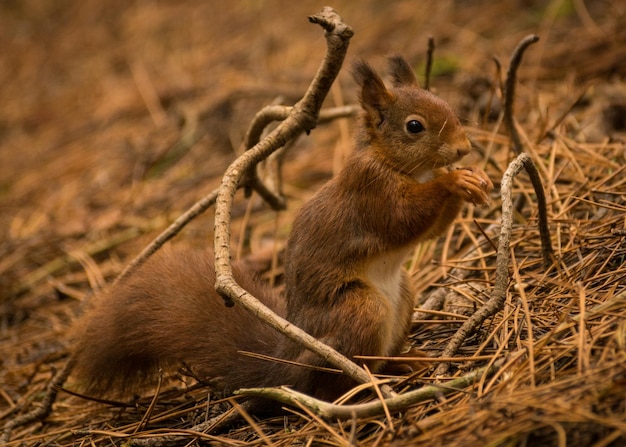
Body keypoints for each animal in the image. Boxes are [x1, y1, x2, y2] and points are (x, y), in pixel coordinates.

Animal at [70, 56, 492, 406]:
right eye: (414, 126)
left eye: (447, 105)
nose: (463, 148)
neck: (397, 163)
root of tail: (286, 368)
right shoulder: (371, 191)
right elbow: (404, 219)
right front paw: (453, 181)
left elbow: (430, 229)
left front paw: (475, 178)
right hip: (359, 310)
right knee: (337, 383)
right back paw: (376, 381)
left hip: (404, 293)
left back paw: (408, 359)